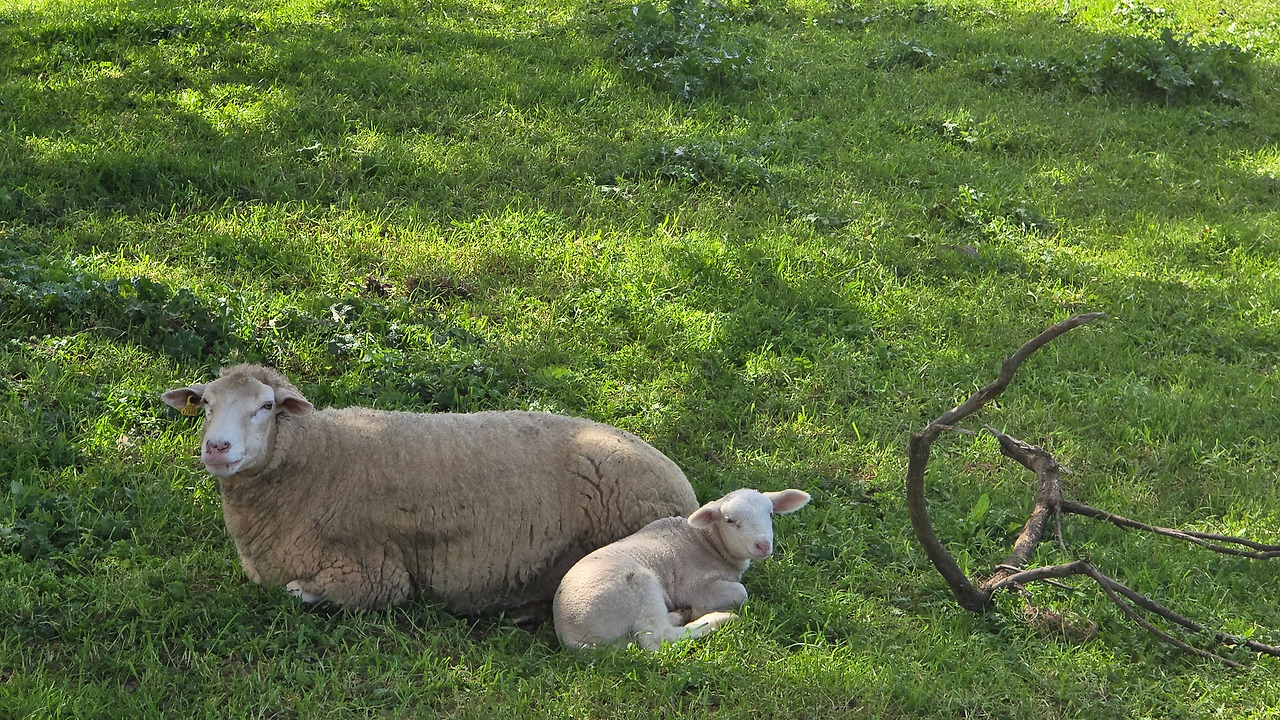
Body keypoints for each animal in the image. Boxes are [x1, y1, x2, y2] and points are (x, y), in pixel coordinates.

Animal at [161, 363, 698, 615]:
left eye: (267, 406)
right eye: (205, 404)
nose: (217, 447)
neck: (317, 459)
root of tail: (683, 487)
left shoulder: (373, 575)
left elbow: (300, 593)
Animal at [552, 487, 810, 650]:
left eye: (770, 514)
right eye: (729, 521)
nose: (763, 545)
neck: (706, 542)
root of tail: (570, 635)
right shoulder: (695, 586)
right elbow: (740, 592)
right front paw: (705, 610)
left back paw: (677, 615)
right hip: (637, 586)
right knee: (657, 639)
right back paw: (717, 619)